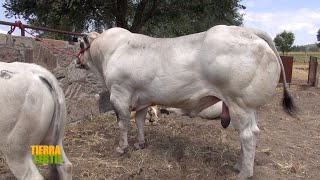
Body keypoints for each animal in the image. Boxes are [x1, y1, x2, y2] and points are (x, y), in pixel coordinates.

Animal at [75, 25, 296, 179]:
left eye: (80, 44)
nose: (76, 61)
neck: (111, 51)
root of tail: (249, 30)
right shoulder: (143, 98)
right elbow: (139, 121)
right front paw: (141, 143)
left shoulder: (119, 94)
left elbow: (122, 123)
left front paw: (122, 147)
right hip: (248, 108)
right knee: (250, 134)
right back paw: (239, 165)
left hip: (239, 104)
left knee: (248, 136)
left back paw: (244, 173)